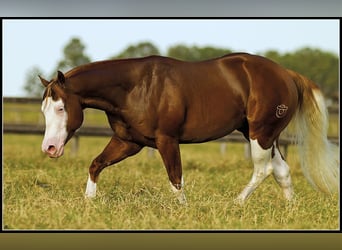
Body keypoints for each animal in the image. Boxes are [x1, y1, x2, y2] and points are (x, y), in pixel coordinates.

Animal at [40, 53, 340, 205]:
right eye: (44, 110)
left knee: (264, 169)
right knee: (282, 171)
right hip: (263, 134)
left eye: (61, 108)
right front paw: (88, 202)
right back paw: (289, 210)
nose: (49, 148)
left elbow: (175, 180)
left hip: (261, 133)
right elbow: (96, 164)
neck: (135, 88)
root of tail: (287, 74)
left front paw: (181, 212)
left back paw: (237, 203)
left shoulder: (167, 140)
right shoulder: (129, 141)